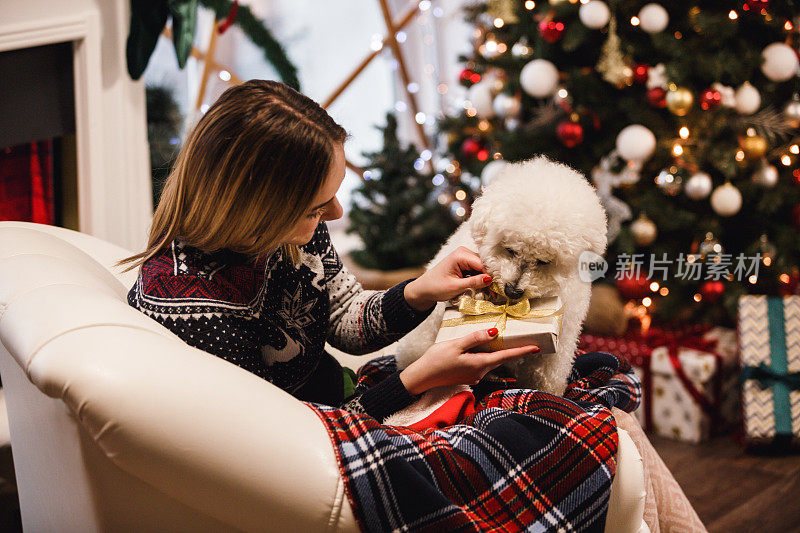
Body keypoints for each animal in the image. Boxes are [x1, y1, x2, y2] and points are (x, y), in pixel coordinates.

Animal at [386, 156, 608, 426]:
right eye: (510, 250)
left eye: (544, 261)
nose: (513, 291)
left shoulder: (559, 346)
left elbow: (547, 381)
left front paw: (549, 396)